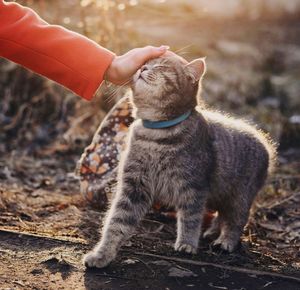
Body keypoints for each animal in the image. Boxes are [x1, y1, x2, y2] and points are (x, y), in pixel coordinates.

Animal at [83, 53, 276, 268]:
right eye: (145, 63)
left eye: (161, 66)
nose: (142, 68)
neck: (155, 135)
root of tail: (265, 143)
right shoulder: (134, 186)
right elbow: (116, 223)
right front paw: (102, 254)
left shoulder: (193, 188)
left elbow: (190, 219)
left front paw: (187, 244)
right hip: (220, 195)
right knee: (221, 215)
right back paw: (212, 231)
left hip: (239, 196)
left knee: (236, 220)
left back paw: (226, 241)